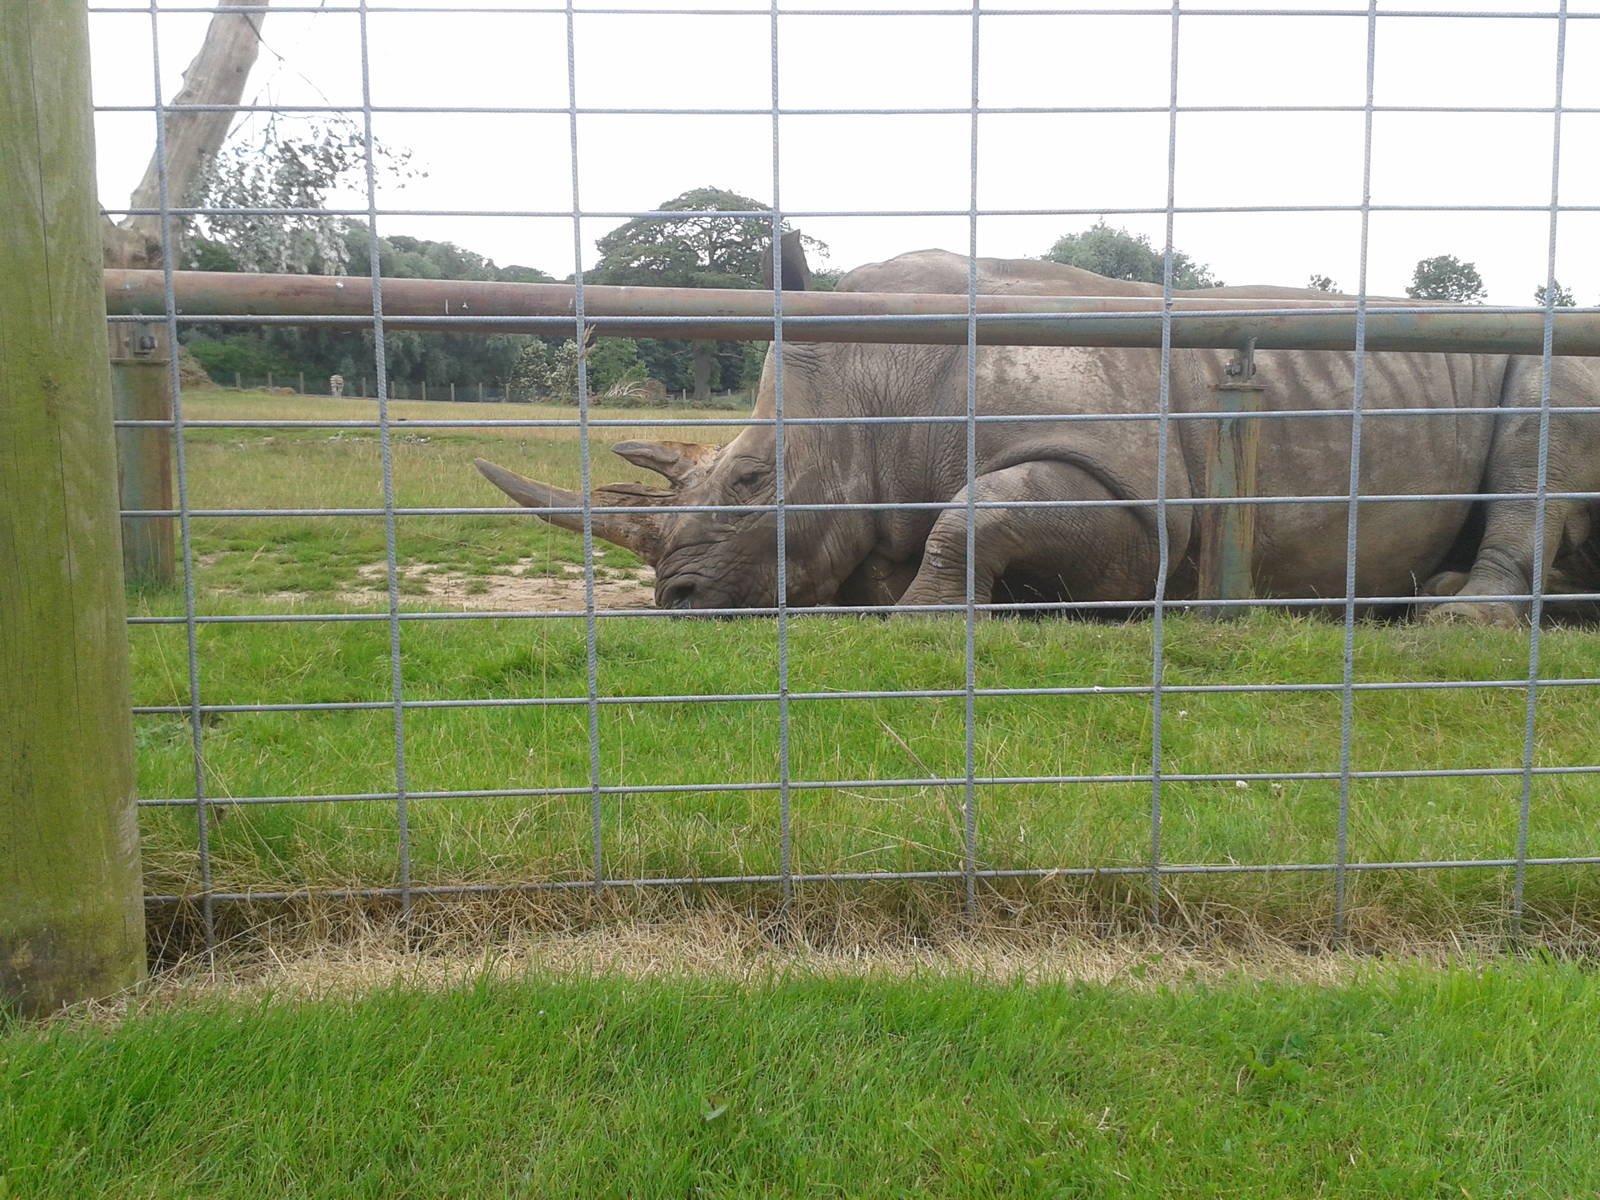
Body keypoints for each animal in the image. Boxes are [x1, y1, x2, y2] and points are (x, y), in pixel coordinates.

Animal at [476, 250, 1600, 625]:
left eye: (753, 479)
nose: (676, 600)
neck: (872, 386)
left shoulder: (1136, 501)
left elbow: (979, 512)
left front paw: (922, 619)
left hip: (1557, 354)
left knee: (1541, 411)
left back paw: (1452, 619)